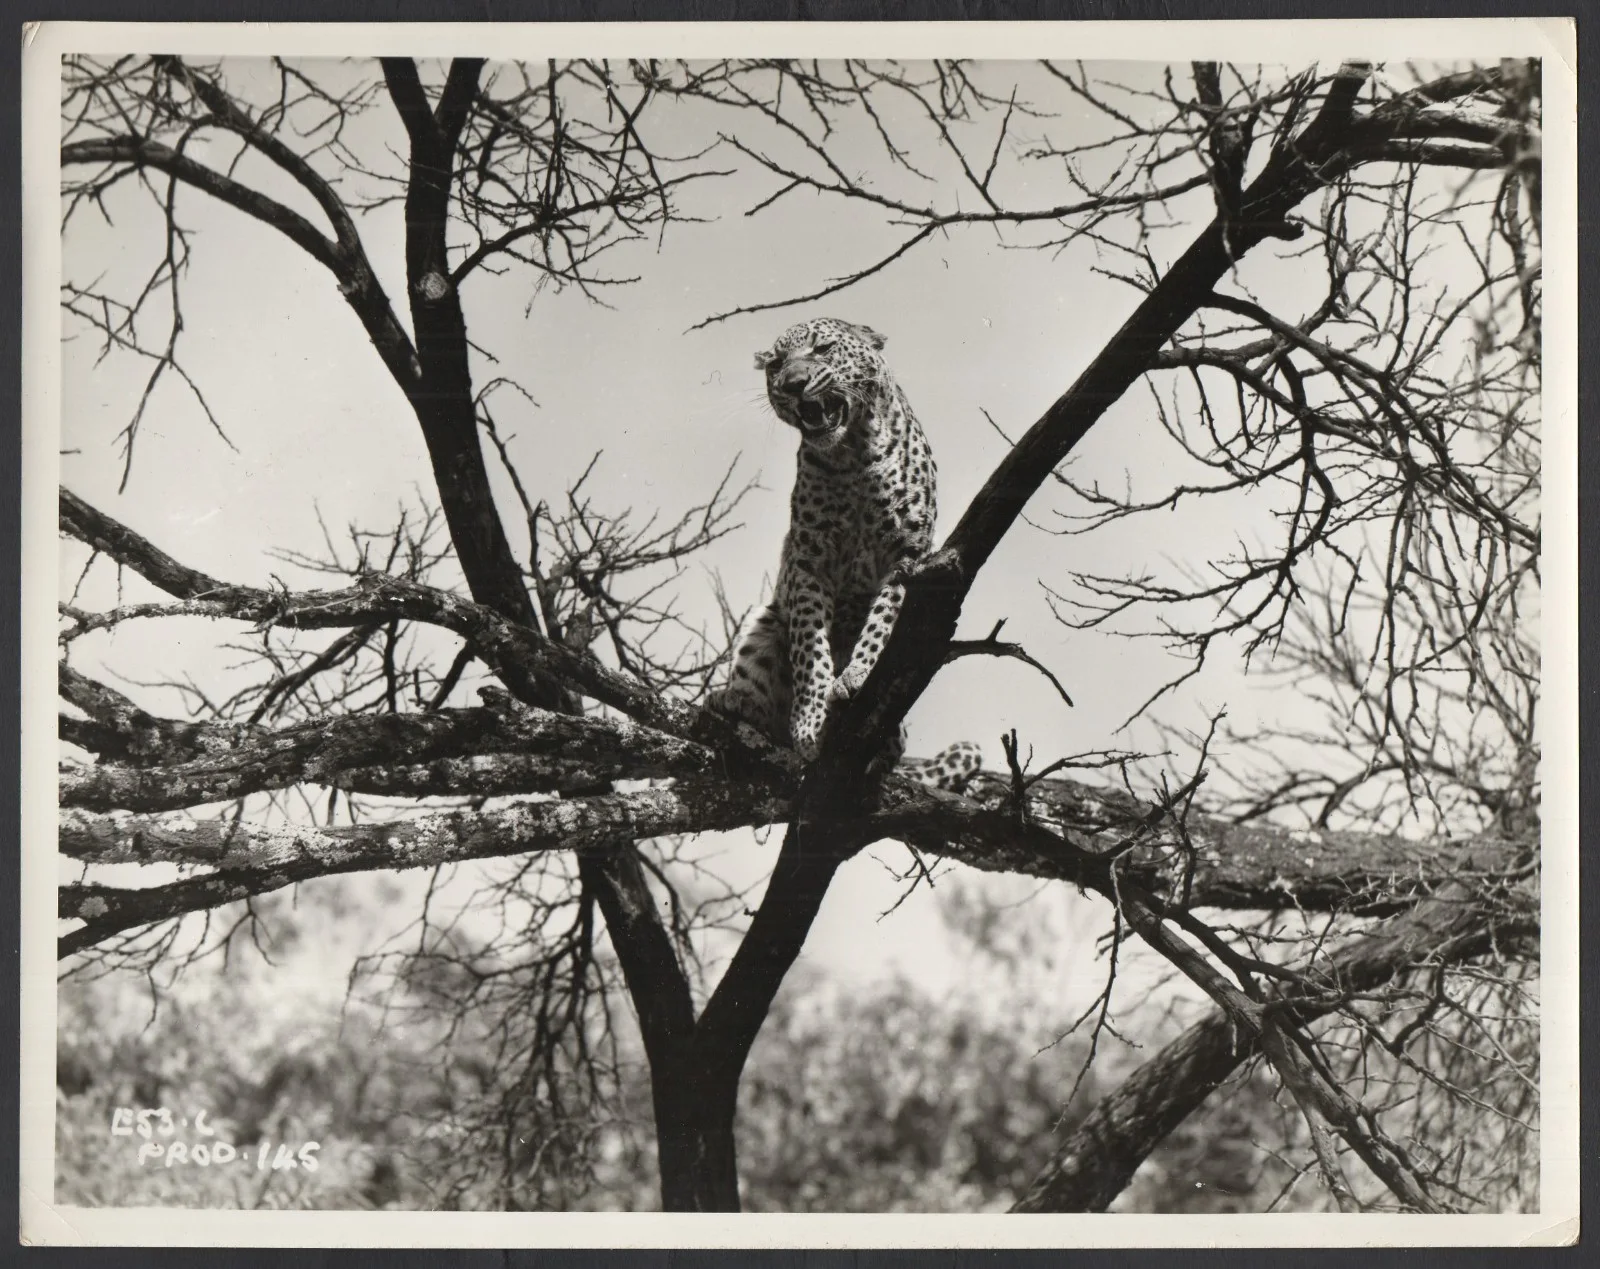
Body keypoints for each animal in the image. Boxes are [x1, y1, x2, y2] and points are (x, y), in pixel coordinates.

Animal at [708, 316, 982, 795]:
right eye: (776, 364)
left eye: (822, 349)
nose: (794, 384)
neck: (853, 453)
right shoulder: (808, 560)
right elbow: (809, 650)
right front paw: (811, 723)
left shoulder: (906, 556)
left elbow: (881, 624)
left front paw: (858, 674)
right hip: (763, 622)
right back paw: (733, 701)